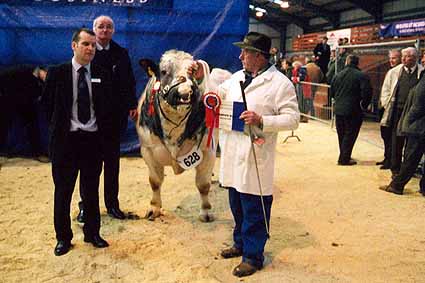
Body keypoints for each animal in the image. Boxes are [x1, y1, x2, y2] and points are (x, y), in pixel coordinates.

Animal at [136, 51, 215, 224]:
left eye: (193, 71)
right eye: (164, 71)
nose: (185, 93)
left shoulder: (208, 151)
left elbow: (203, 185)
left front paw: (206, 212)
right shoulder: (147, 150)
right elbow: (155, 182)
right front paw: (154, 208)